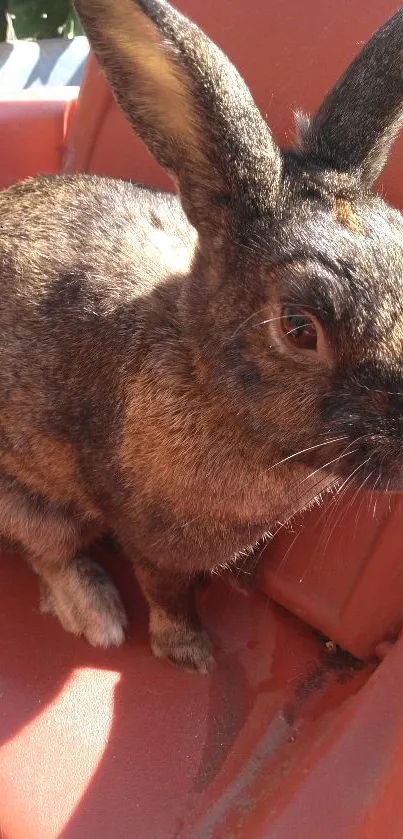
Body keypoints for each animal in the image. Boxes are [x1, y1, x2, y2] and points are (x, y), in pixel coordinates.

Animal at [0, 0, 403, 672]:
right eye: (299, 328)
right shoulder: (150, 538)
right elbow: (167, 591)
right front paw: (189, 653)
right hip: (26, 501)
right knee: (47, 552)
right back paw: (98, 615)